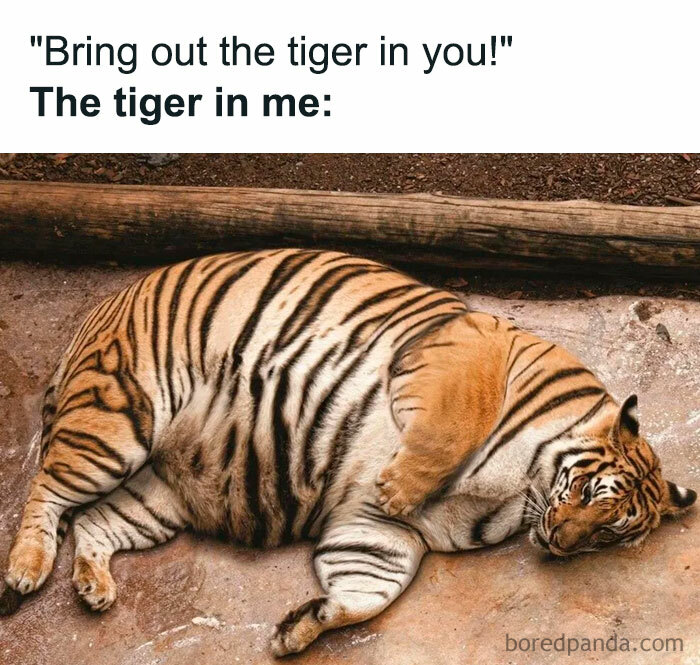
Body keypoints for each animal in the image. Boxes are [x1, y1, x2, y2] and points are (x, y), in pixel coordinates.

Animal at [0, 249, 695, 656]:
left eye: (610, 533)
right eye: (588, 493)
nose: (561, 543)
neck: (525, 490)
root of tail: (102, 307)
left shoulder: (385, 534)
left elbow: (369, 588)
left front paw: (301, 626)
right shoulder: (462, 350)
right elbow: (452, 425)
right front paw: (401, 484)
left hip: (158, 494)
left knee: (93, 522)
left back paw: (92, 587)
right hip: (118, 420)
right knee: (46, 490)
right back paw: (24, 571)